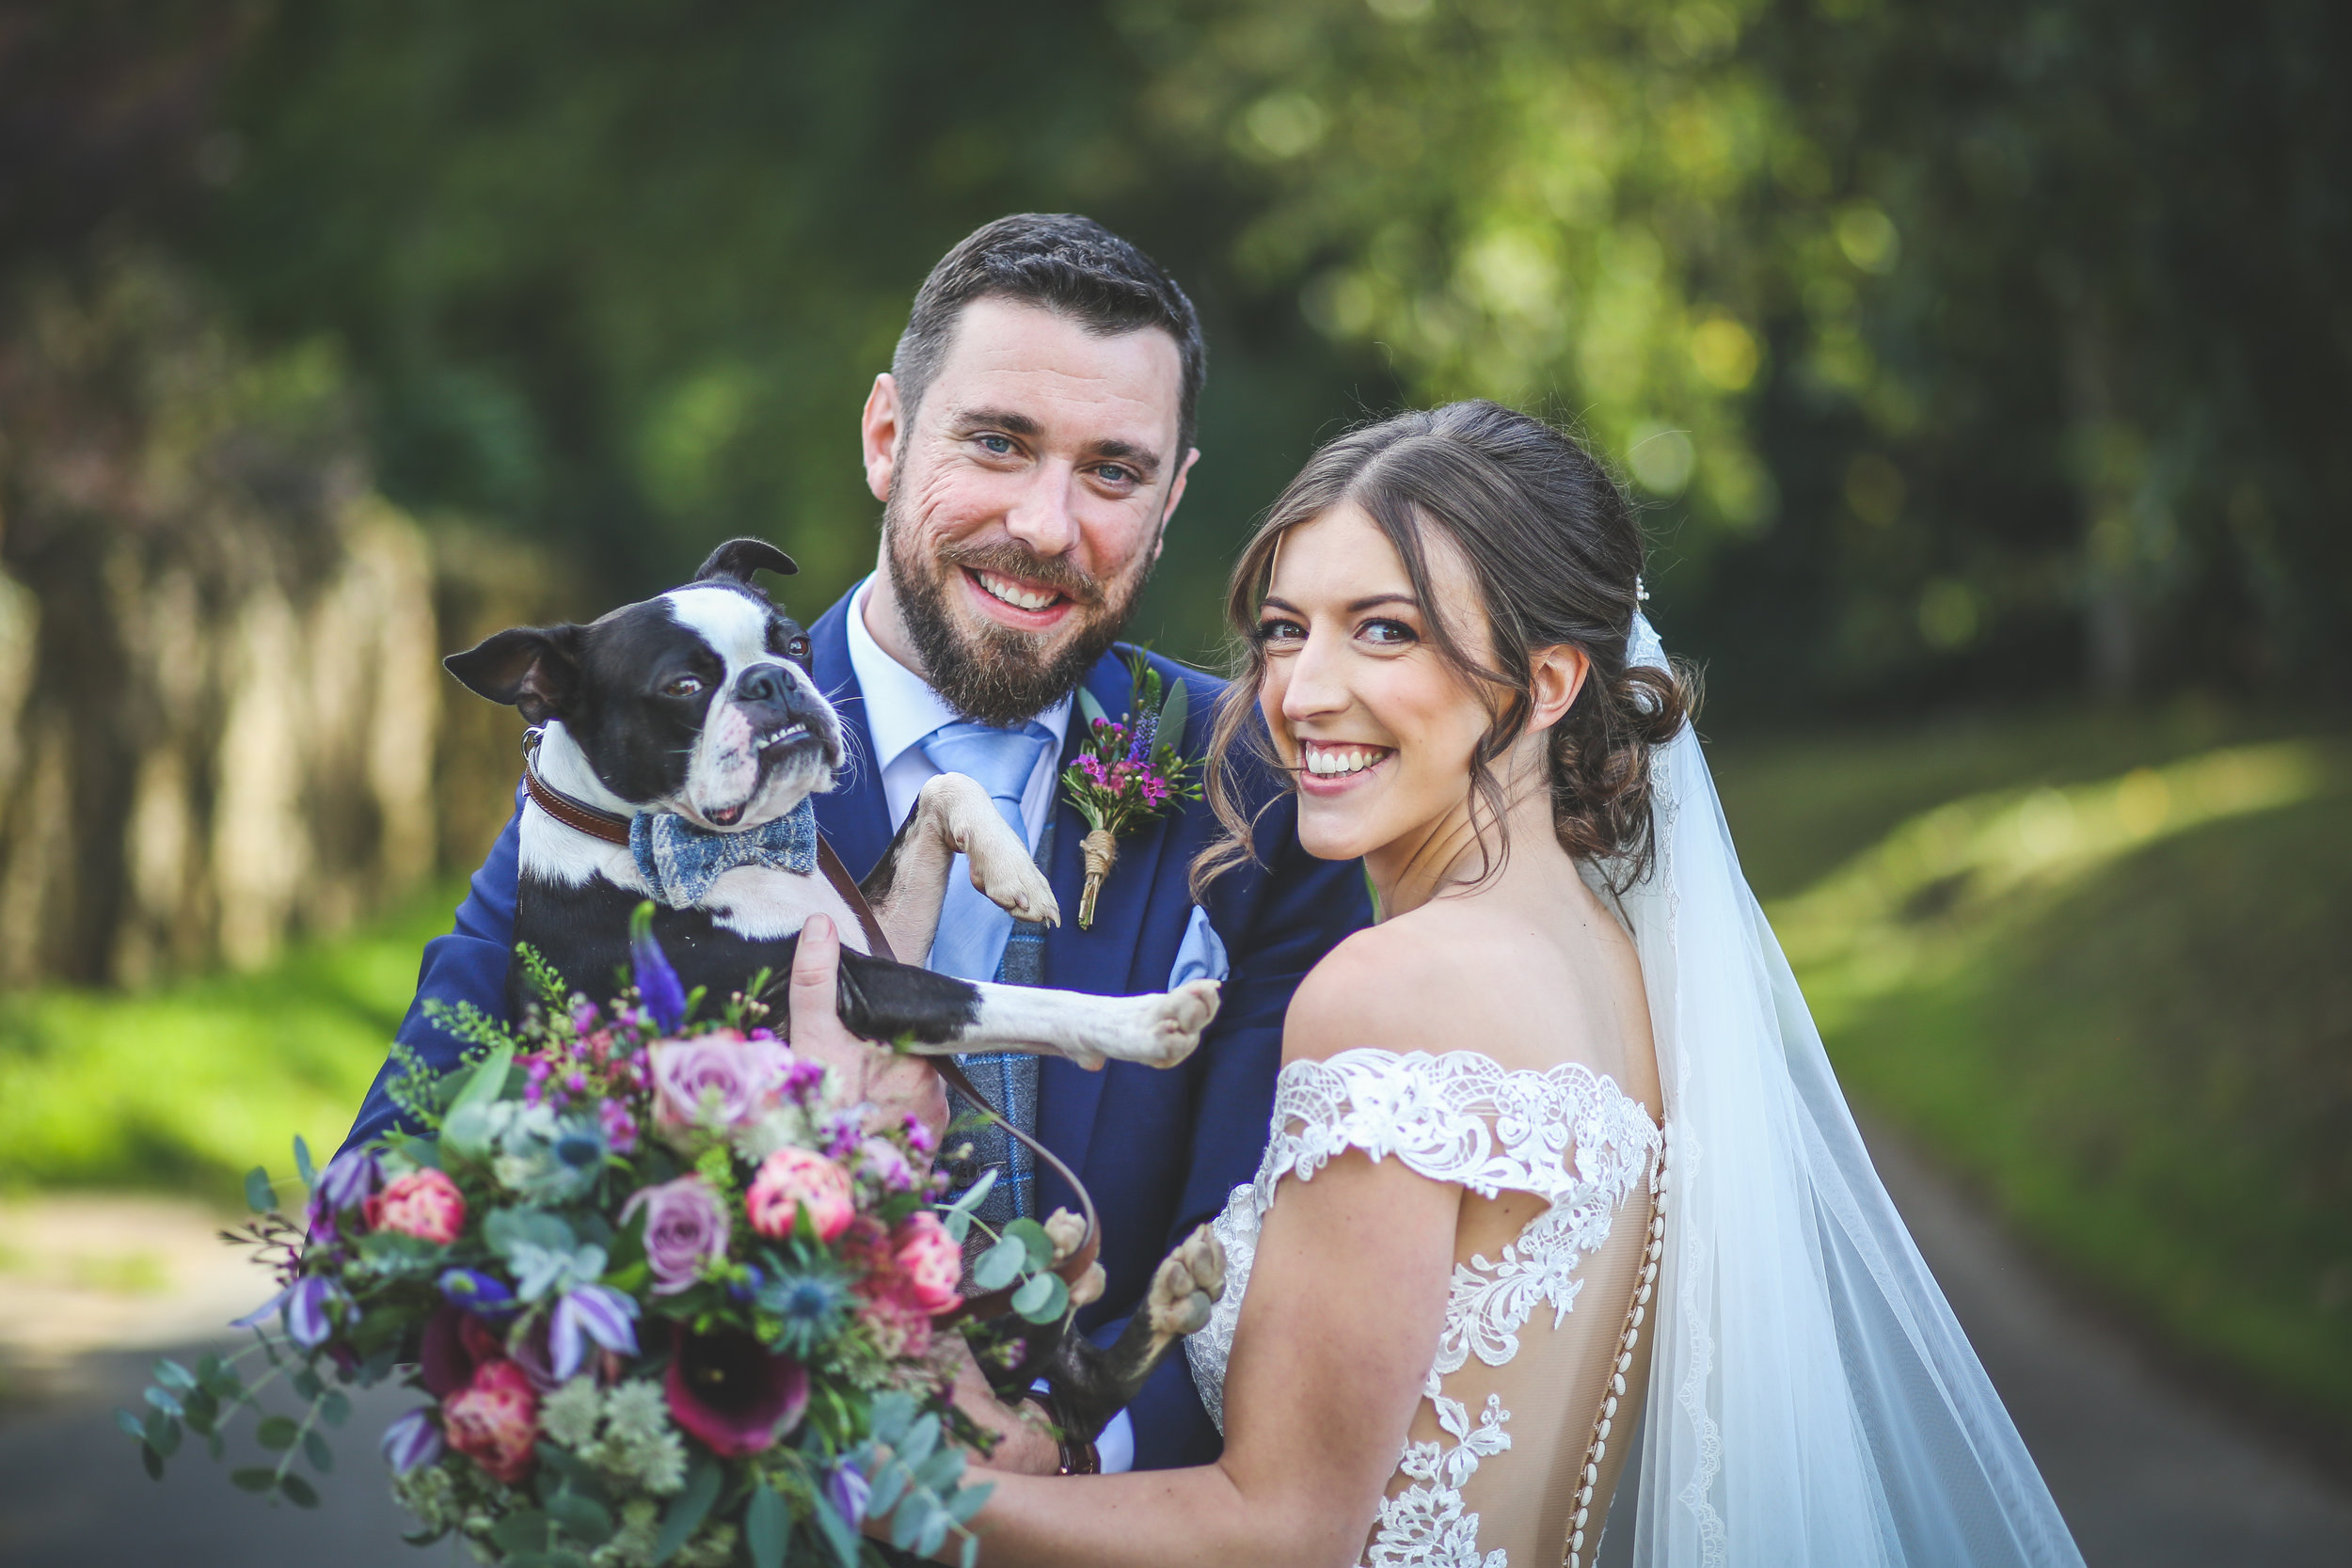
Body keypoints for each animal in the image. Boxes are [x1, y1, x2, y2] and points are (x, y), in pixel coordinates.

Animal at [442, 535, 1223, 1067]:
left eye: (794, 645)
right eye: (683, 687)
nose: (771, 680)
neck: (735, 848)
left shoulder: (878, 929)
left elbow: (944, 785)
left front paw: (1014, 871)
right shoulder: (857, 983)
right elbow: (1000, 998)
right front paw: (1147, 1022)